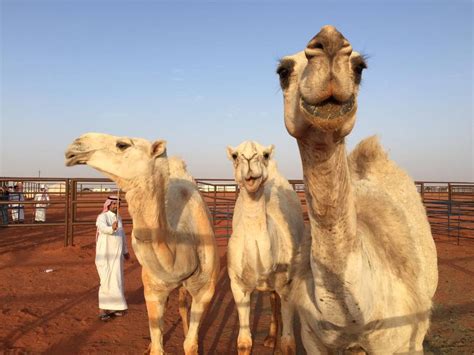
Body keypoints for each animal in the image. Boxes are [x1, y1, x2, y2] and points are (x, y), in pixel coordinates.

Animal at [64, 134, 219, 355]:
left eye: (122, 144)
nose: (75, 145)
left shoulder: (205, 291)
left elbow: (190, 343)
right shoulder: (152, 290)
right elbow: (158, 345)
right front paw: (152, 345)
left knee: (182, 304)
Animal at [225, 140, 304, 354]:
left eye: (265, 154)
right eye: (235, 155)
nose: (249, 158)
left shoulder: (288, 284)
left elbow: (289, 343)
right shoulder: (237, 285)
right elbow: (243, 342)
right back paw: (269, 339)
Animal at [276, 26, 438, 354]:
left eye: (360, 67)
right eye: (282, 71)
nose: (329, 39)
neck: (352, 322)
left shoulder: (395, 342)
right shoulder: (314, 342)